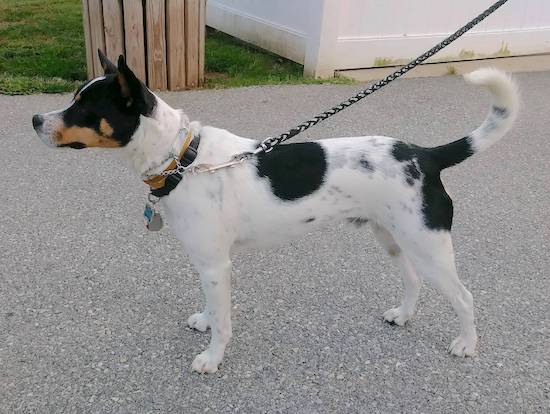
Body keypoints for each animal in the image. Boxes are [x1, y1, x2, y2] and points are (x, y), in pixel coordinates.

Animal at [33, 50, 520, 374]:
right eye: (73, 97)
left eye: (84, 107)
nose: (35, 120)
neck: (185, 159)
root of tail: (426, 155)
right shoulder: (207, 263)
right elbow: (213, 308)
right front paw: (205, 320)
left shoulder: (216, 264)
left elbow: (224, 322)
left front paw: (212, 358)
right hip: (393, 238)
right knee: (414, 281)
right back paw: (403, 315)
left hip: (429, 245)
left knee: (464, 297)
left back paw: (466, 344)